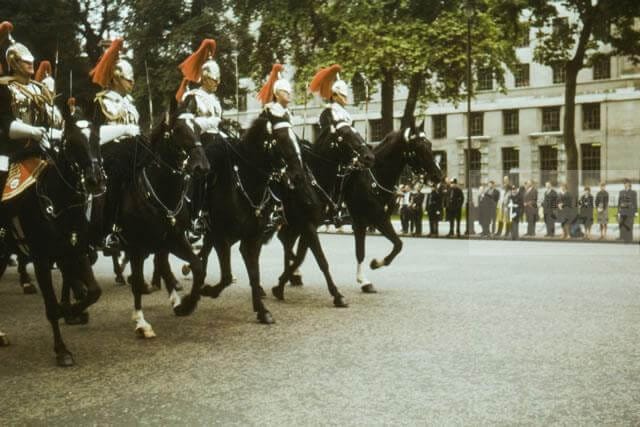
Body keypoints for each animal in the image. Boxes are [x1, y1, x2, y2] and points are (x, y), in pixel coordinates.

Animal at [0, 108, 106, 366]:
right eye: (71, 142)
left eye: (97, 137)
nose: (94, 180)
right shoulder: (41, 259)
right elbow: (50, 306)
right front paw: (62, 350)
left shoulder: (76, 250)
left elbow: (93, 291)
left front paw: (72, 310)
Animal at [95, 111, 210, 342]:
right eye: (177, 130)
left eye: (198, 129)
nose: (202, 166)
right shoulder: (136, 247)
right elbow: (138, 281)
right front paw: (141, 323)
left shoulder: (173, 239)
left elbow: (197, 266)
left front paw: (186, 305)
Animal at [268, 123, 378, 302]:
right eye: (344, 136)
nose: (370, 157)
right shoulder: (307, 225)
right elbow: (320, 259)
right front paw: (337, 295)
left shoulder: (309, 225)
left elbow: (301, 256)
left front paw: (280, 285)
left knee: (285, 241)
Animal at [278, 120, 442, 294]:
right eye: (418, 146)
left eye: (430, 144)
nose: (438, 175)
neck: (374, 178)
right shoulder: (370, 220)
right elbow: (381, 248)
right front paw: (372, 269)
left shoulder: (373, 220)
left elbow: (387, 247)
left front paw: (368, 276)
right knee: (286, 239)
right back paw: (293, 274)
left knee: (285, 239)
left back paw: (292, 276)